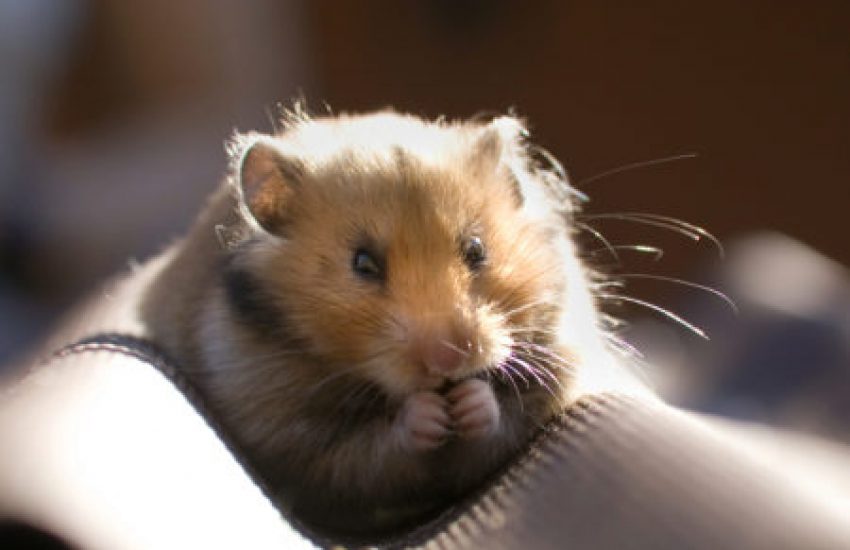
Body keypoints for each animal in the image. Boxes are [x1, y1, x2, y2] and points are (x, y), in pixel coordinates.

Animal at [140, 107, 623, 537]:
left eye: (476, 250)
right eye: (363, 263)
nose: (449, 360)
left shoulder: (559, 362)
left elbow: (506, 419)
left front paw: (470, 401)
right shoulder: (283, 431)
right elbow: (369, 455)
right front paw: (430, 414)